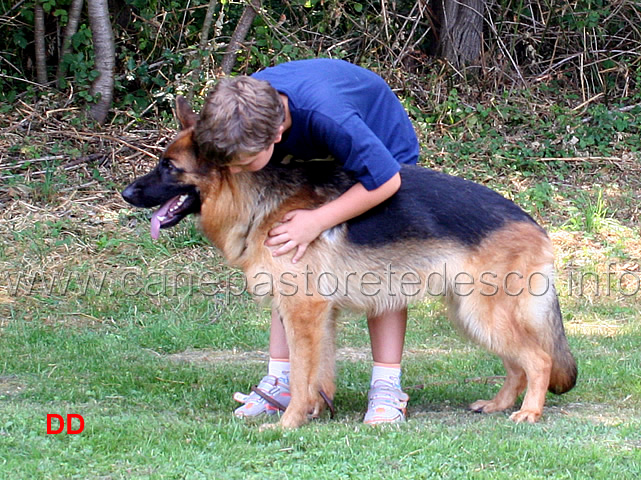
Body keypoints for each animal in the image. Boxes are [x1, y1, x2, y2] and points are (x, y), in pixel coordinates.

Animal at [120, 97, 576, 428]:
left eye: (169, 167)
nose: (125, 193)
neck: (258, 200)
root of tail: (536, 226)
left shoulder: (304, 312)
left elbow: (302, 372)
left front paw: (288, 424)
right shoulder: (315, 315)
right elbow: (317, 372)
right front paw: (313, 411)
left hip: (483, 315)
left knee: (538, 360)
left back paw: (529, 412)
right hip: (470, 316)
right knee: (517, 364)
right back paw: (499, 404)